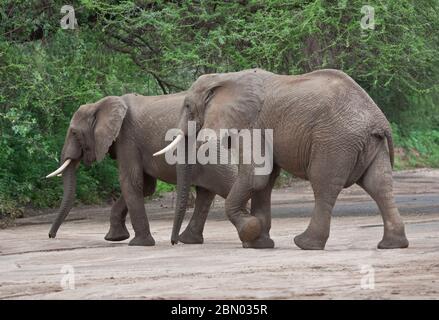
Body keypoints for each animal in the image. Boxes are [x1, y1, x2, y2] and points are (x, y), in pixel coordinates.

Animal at [45, 91, 239, 246]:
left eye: (74, 133)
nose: (51, 235)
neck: (99, 105)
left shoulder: (127, 138)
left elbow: (131, 182)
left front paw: (138, 244)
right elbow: (146, 187)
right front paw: (114, 238)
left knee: (227, 184)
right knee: (207, 193)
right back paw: (189, 241)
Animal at [156, 69, 410, 250]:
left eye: (188, 106)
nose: (174, 242)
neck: (225, 78)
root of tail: (378, 120)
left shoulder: (251, 125)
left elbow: (256, 177)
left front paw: (250, 230)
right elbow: (264, 182)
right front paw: (259, 244)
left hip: (335, 141)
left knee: (324, 184)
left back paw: (305, 244)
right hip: (370, 144)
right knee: (379, 185)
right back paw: (392, 245)